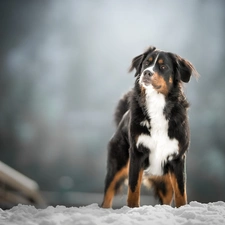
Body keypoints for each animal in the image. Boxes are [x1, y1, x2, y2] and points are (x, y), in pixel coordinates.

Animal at [101, 46, 198, 209]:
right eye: (146, 63)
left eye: (163, 67)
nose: (147, 72)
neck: (157, 103)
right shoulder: (137, 153)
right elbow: (133, 189)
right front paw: (133, 208)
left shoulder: (177, 157)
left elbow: (181, 192)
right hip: (118, 164)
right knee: (107, 195)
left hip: (165, 181)